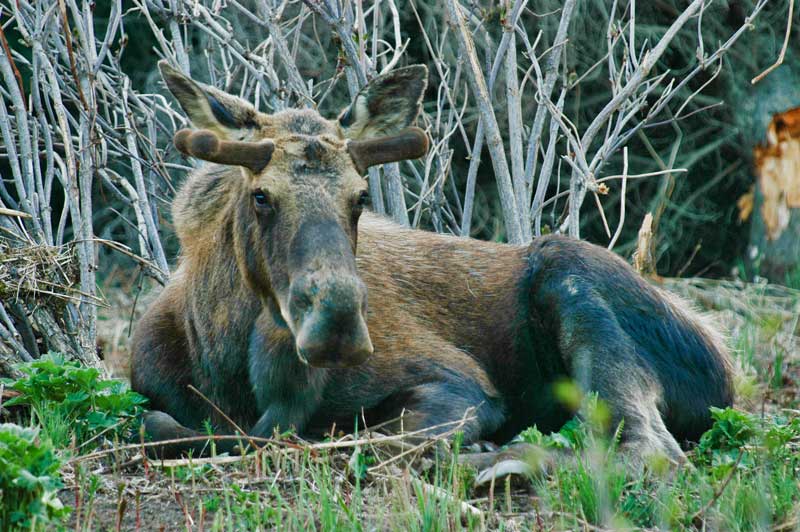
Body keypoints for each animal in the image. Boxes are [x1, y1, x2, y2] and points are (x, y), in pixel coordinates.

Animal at [130, 60, 732, 464]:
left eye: (361, 197)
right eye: (261, 195)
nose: (337, 323)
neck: (221, 355)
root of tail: (728, 365)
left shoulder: (461, 385)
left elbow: (363, 434)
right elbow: (161, 421)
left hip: (572, 277)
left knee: (647, 446)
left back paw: (504, 461)